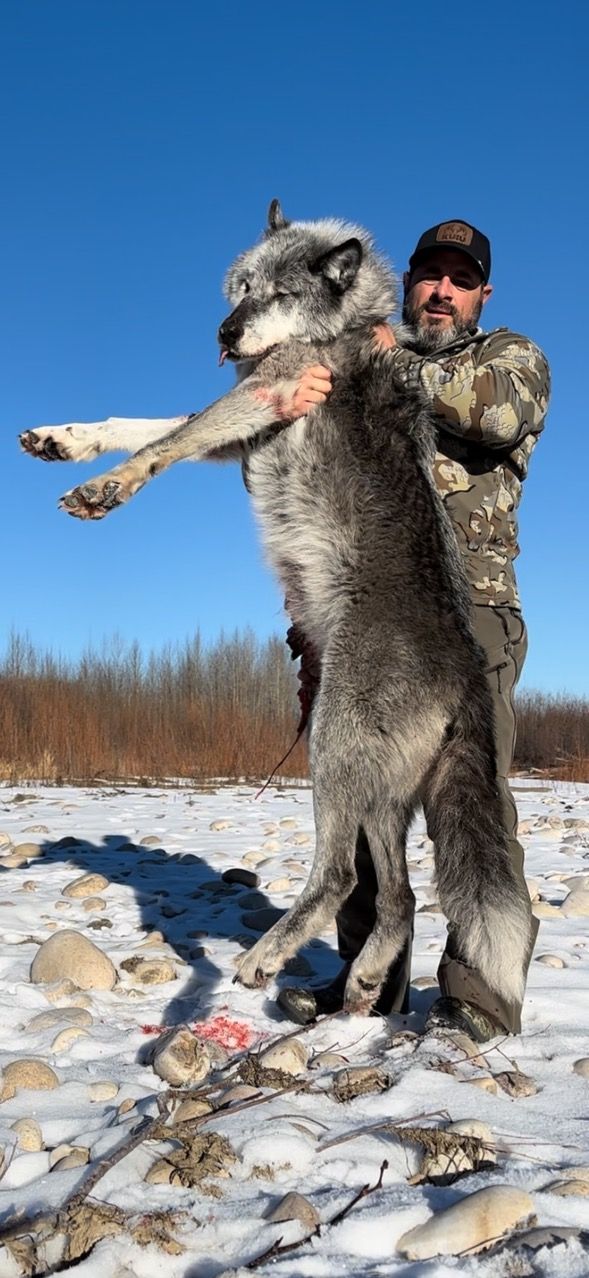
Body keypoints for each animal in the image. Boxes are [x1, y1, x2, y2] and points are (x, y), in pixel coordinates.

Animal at [21, 201, 532, 1014]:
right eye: (241, 288)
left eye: (283, 293)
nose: (225, 335)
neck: (337, 328)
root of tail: (466, 674)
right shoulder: (249, 419)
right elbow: (145, 424)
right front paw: (63, 440)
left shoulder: (267, 391)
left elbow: (165, 442)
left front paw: (105, 489)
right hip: (380, 800)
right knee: (398, 899)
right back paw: (361, 979)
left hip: (332, 752)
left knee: (342, 877)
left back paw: (265, 958)